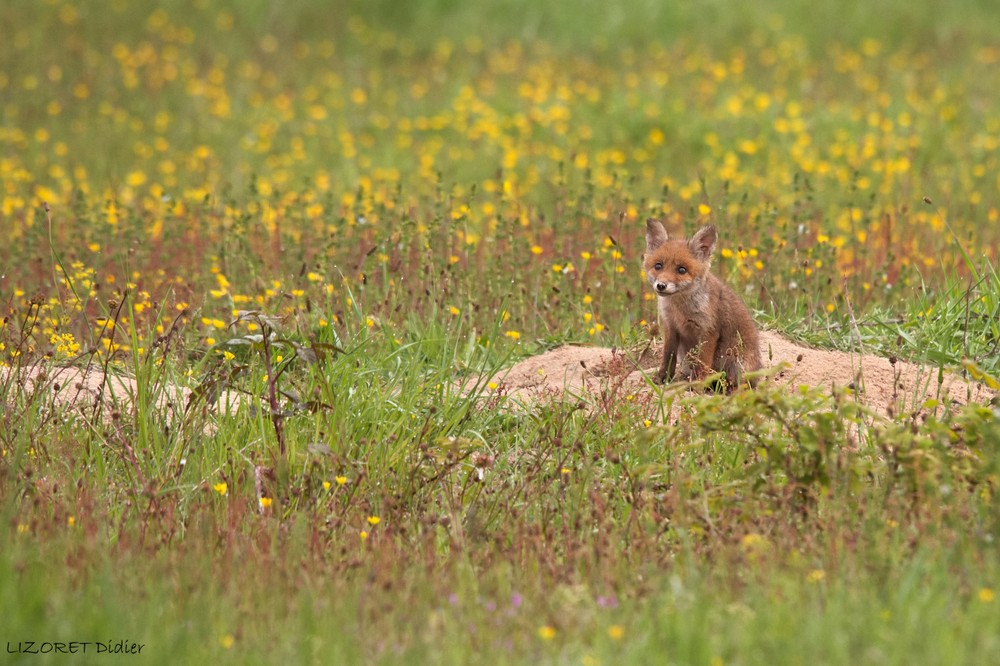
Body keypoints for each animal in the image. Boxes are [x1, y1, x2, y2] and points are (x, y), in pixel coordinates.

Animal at [643, 218, 762, 392]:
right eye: (658, 266)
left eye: (682, 270)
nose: (661, 285)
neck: (679, 310)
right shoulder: (671, 326)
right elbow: (668, 357)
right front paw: (662, 378)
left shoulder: (708, 330)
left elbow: (703, 363)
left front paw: (697, 385)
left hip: (735, 365)